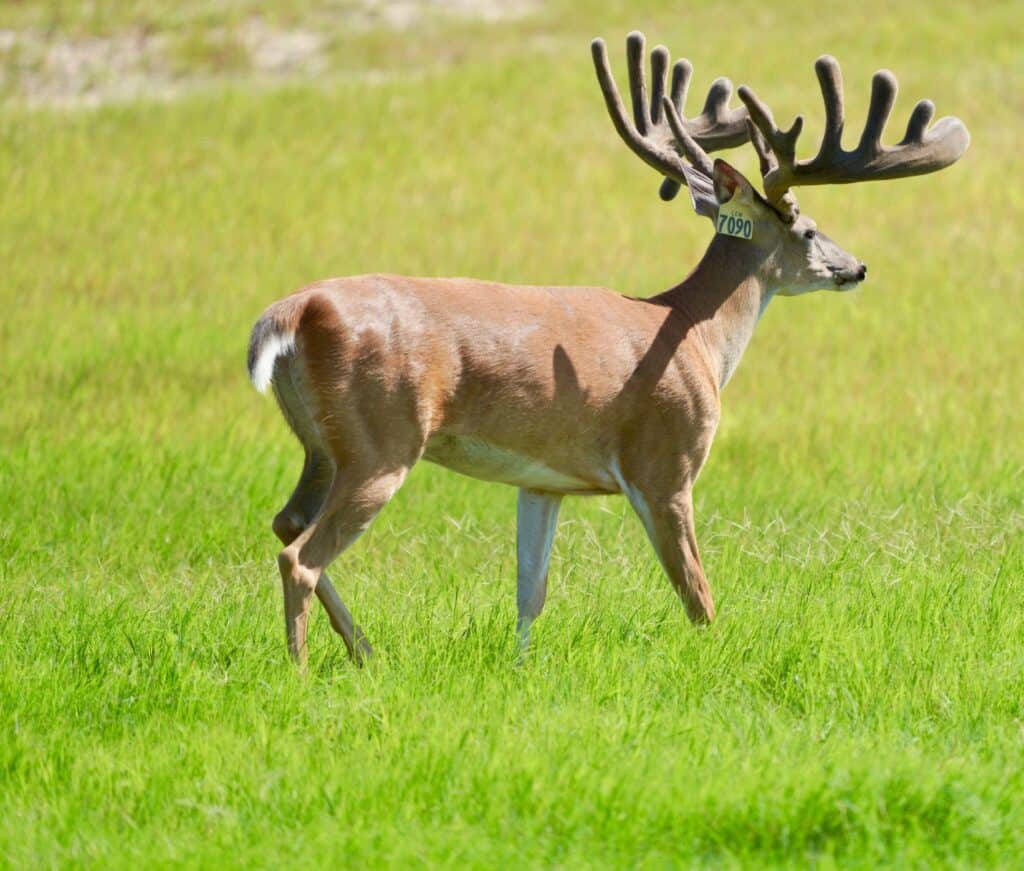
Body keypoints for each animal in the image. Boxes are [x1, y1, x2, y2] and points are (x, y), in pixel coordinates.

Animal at [247, 32, 969, 666]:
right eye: (810, 229)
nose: (858, 267)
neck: (696, 332)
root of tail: (293, 312)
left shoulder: (543, 480)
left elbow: (530, 591)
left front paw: (521, 669)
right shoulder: (666, 460)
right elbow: (697, 594)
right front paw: (713, 663)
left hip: (322, 442)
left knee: (285, 521)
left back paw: (365, 650)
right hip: (383, 437)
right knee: (300, 554)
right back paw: (303, 670)